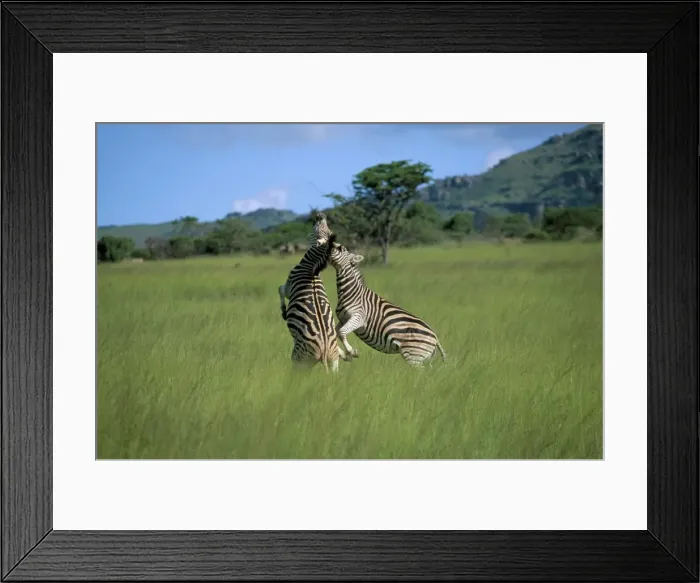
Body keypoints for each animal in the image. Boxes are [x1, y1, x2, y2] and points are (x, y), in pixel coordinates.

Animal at [278, 232, 349, 373]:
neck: (311, 267)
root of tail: (325, 349)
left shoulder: (289, 287)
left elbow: (280, 289)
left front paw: (283, 312)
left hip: (300, 360)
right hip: (333, 361)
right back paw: (343, 355)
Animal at [327, 240, 447, 368]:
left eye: (341, 248)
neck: (351, 292)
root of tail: (435, 338)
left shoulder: (358, 317)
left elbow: (341, 332)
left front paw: (351, 352)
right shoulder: (343, 319)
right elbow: (335, 333)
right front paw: (344, 354)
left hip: (414, 357)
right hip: (423, 358)